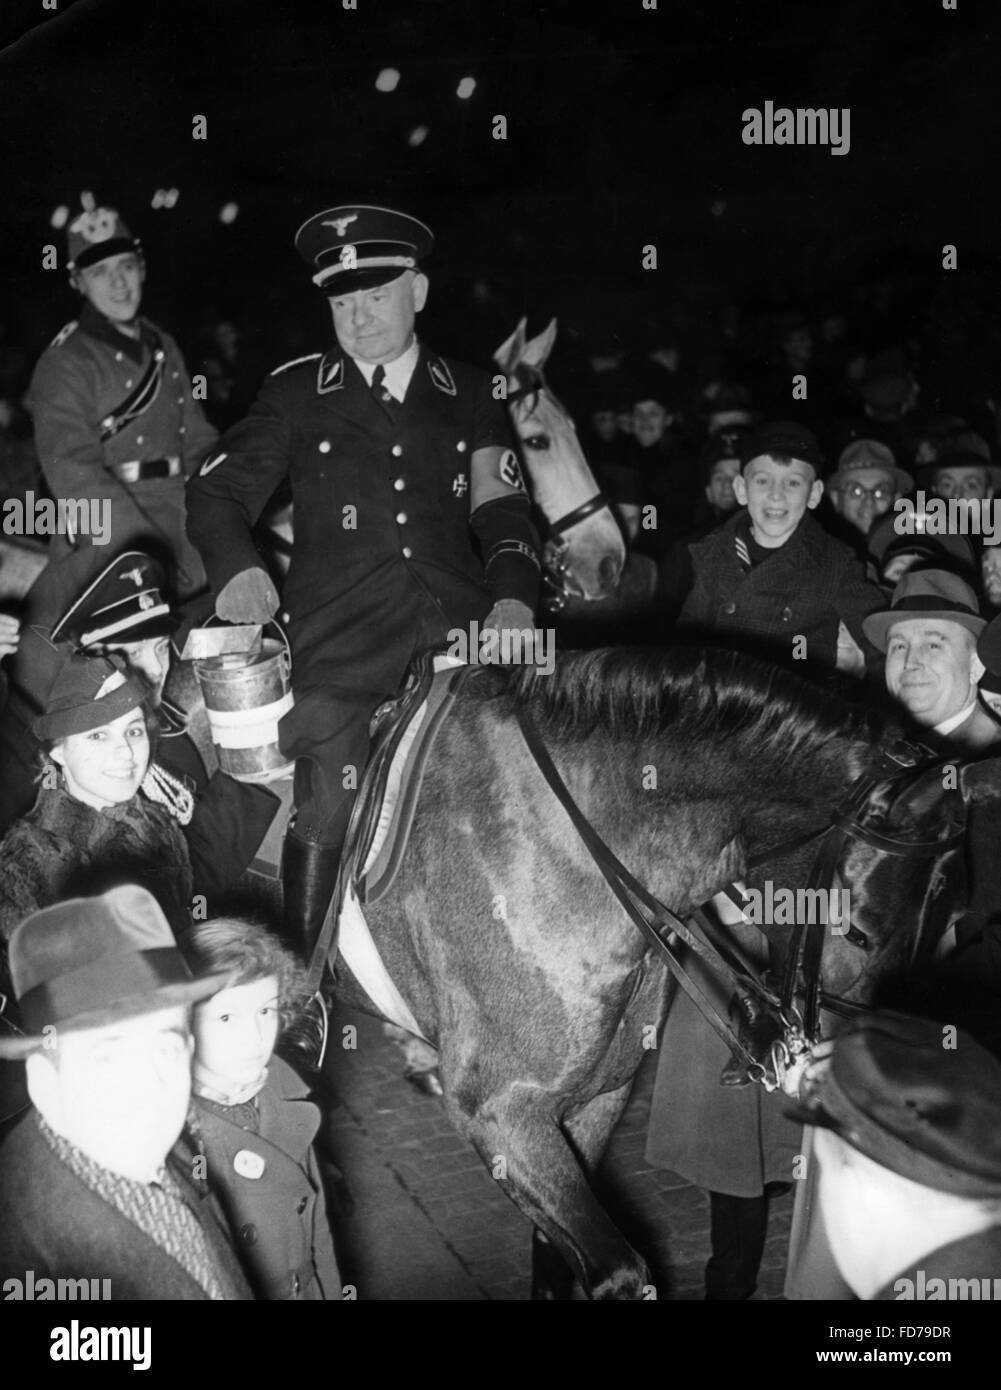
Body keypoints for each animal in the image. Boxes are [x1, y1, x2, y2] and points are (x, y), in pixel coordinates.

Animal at [336, 644, 984, 1295]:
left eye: (957, 923)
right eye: (859, 933)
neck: (564, 843)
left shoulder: (600, 1093)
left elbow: (555, 1251)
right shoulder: (499, 1110)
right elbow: (620, 1270)